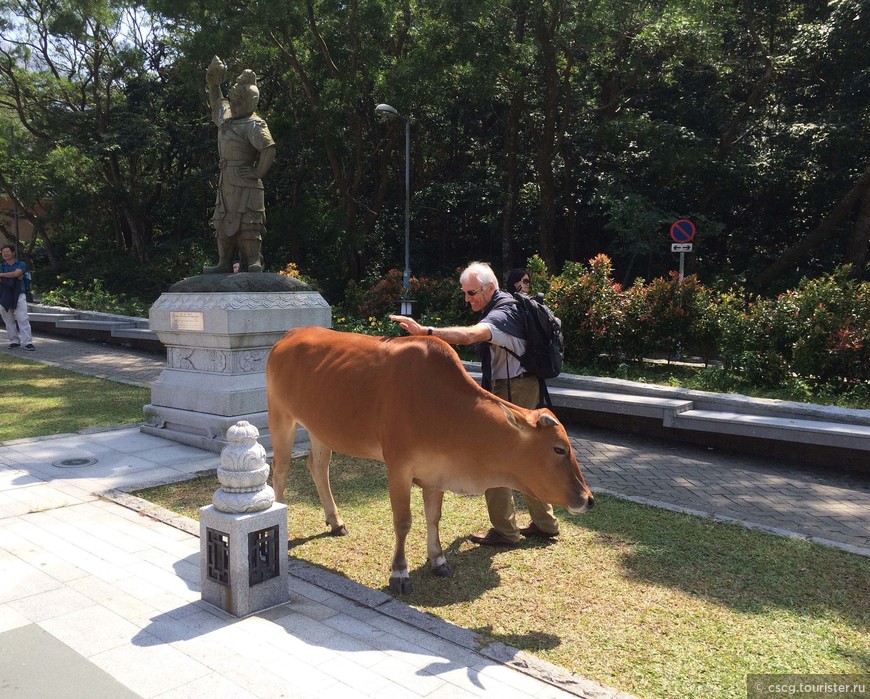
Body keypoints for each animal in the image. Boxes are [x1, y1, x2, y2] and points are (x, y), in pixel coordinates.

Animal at [266, 326, 592, 592]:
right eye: (559, 449)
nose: (588, 499)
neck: (444, 408)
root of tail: (290, 334)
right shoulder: (398, 468)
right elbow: (403, 521)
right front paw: (399, 573)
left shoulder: (436, 473)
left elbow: (433, 518)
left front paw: (438, 561)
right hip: (281, 416)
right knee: (280, 469)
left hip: (320, 427)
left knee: (318, 466)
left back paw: (336, 522)